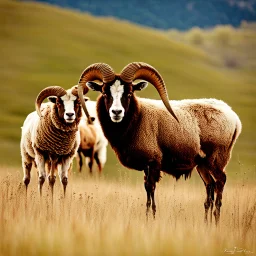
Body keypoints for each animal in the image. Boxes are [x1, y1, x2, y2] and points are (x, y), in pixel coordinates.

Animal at [77, 62, 241, 224]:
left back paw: (216, 219)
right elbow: (147, 188)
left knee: (220, 181)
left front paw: (151, 217)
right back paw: (206, 222)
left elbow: (151, 188)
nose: (116, 112)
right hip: (203, 165)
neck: (138, 118)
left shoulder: (153, 163)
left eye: (129, 93)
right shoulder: (146, 167)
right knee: (210, 186)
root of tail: (233, 117)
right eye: (105, 93)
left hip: (216, 160)